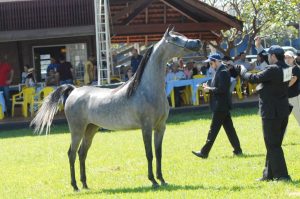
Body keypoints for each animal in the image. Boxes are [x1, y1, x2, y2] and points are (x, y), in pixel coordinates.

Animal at [31, 26, 202, 190]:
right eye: (175, 38)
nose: (198, 42)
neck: (147, 90)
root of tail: (74, 90)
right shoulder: (146, 127)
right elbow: (149, 154)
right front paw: (153, 181)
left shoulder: (161, 127)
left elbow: (159, 154)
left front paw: (162, 180)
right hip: (77, 130)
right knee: (72, 154)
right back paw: (75, 186)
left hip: (90, 129)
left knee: (82, 153)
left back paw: (85, 184)